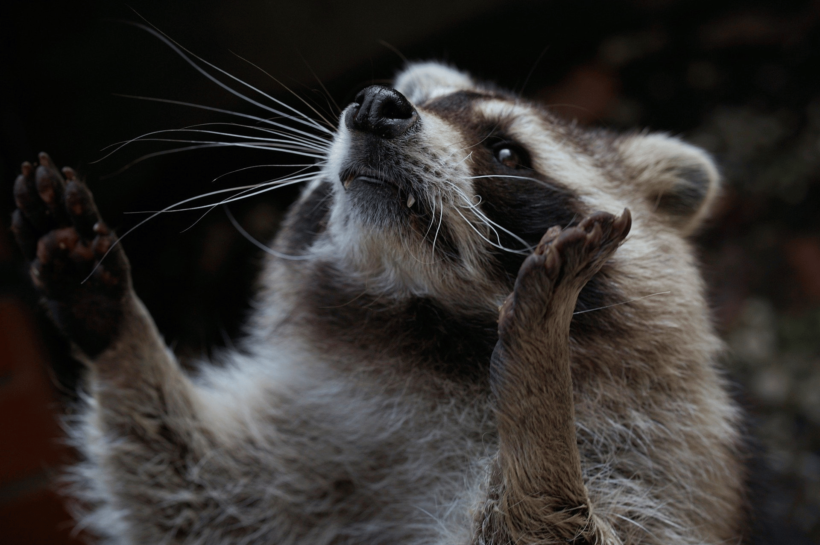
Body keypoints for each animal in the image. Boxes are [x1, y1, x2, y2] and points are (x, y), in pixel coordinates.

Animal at [9, 61, 748, 540]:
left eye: (508, 151)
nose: (375, 104)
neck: (430, 338)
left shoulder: (658, 468)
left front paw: (538, 405)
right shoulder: (314, 455)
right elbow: (197, 497)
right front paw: (113, 324)